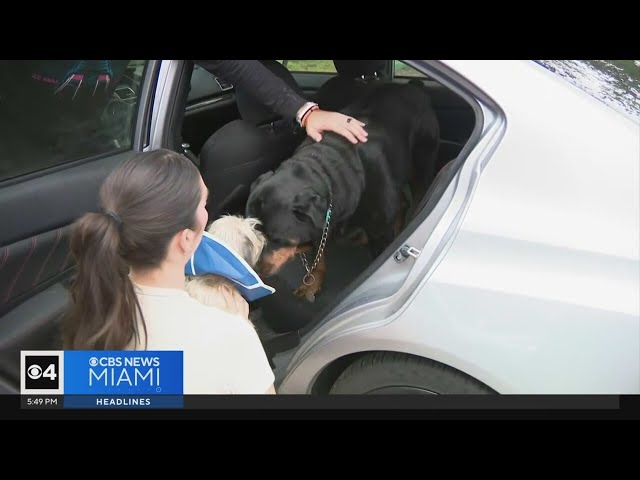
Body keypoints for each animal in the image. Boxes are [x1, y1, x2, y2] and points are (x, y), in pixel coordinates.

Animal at [245, 81, 440, 300]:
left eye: (276, 239)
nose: (252, 270)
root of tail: (412, 85)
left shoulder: (379, 233)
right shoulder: (319, 227)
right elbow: (318, 259)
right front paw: (313, 283)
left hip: (423, 159)